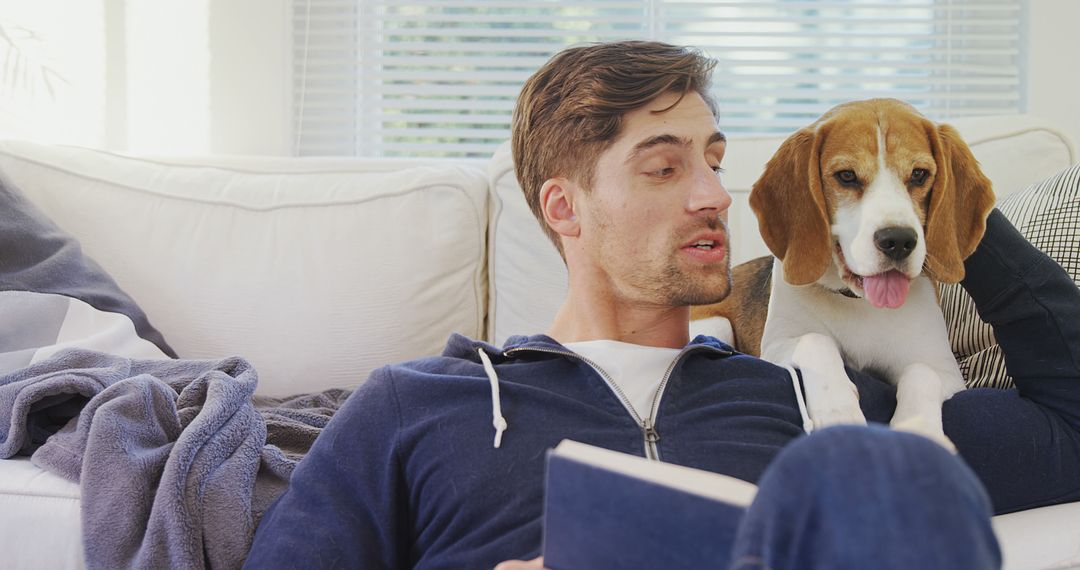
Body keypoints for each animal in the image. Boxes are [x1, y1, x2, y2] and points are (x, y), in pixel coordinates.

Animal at [695, 96, 989, 444]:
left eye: (919, 174)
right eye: (847, 176)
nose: (898, 240)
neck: (858, 303)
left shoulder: (945, 369)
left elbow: (922, 372)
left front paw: (919, 430)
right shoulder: (776, 346)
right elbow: (816, 341)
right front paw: (838, 412)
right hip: (716, 324)